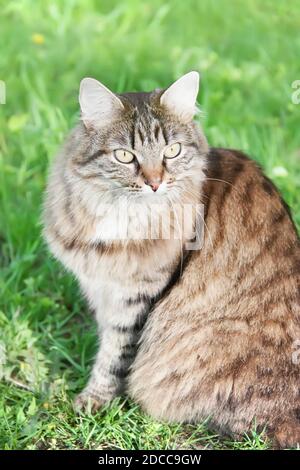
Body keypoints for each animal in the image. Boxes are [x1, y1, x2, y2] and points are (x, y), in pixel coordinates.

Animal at [42, 70, 300, 448]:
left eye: (172, 151)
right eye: (124, 155)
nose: (154, 183)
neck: (122, 216)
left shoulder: (137, 296)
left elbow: (115, 354)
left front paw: (95, 399)